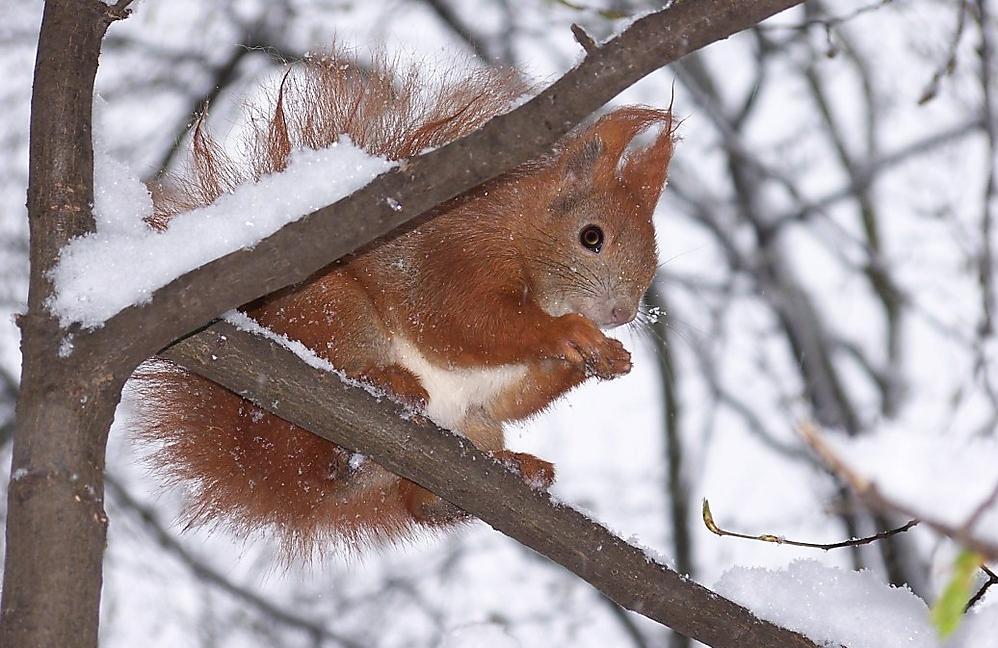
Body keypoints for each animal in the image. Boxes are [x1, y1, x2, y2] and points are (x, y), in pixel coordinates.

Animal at [133, 50, 676, 556]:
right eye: (591, 237)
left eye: (653, 254)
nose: (622, 314)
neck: (522, 241)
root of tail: (258, 456)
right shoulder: (454, 256)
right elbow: (462, 324)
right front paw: (568, 333)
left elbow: (516, 397)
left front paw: (607, 358)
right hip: (334, 315)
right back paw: (384, 388)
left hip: (474, 427)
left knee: (420, 504)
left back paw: (510, 469)